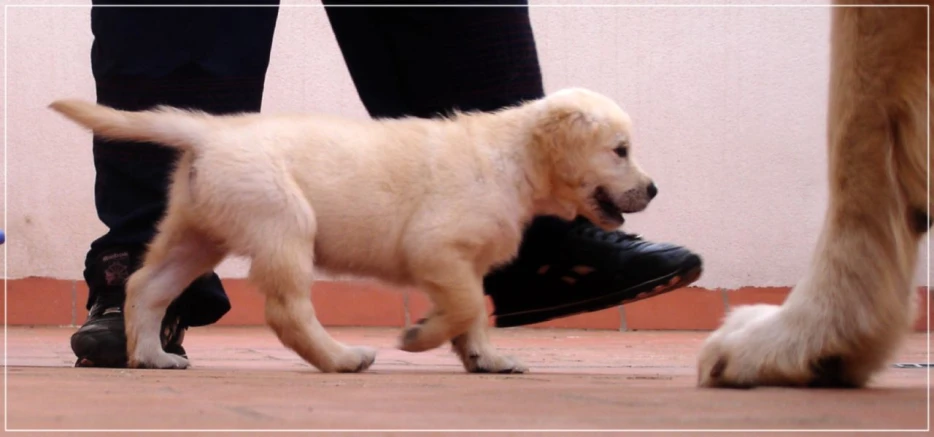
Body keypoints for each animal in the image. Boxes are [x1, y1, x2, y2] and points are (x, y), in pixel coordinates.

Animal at [47, 87, 656, 372]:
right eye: (620, 151)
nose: (652, 190)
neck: (513, 157)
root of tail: (211, 133)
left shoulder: (466, 262)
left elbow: (475, 314)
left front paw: (487, 359)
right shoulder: (437, 250)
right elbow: (463, 307)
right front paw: (420, 337)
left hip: (197, 234)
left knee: (146, 287)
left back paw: (151, 356)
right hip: (285, 223)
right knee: (287, 312)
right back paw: (341, 358)